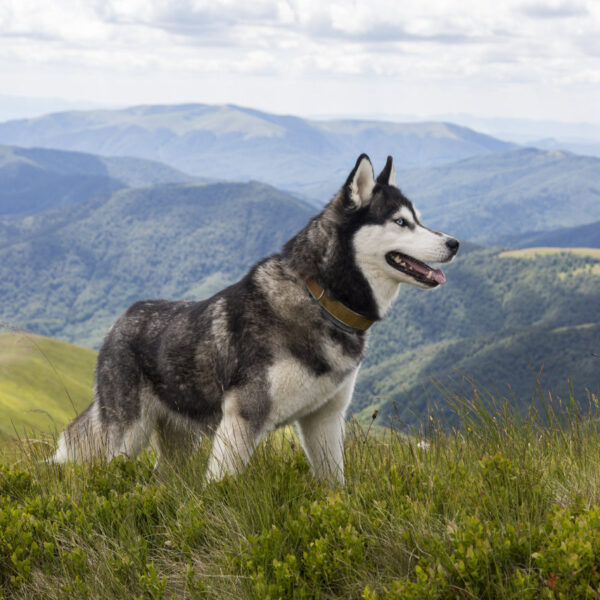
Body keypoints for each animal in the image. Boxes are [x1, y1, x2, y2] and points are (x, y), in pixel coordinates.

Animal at [55, 154, 460, 482]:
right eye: (400, 222)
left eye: (419, 220)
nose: (454, 243)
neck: (321, 297)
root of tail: (120, 320)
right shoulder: (242, 418)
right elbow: (220, 487)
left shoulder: (324, 420)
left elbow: (335, 485)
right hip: (127, 435)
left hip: (179, 440)